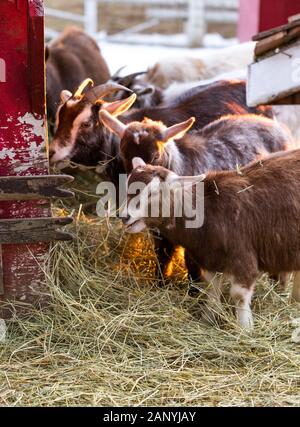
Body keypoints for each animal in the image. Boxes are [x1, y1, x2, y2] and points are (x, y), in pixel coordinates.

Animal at [100, 112, 292, 282]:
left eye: (155, 156)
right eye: (124, 155)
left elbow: (191, 263)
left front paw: (194, 291)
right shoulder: (160, 234)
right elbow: (163, 257)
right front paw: (159, 283)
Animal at [122, 152, 300, 330]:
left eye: (153, 192)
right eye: (128, 183)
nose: (124, 216)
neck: (207, 211)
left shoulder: (243, 258)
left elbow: (239, 295)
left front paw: (245, 328)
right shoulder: (209, 258)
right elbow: (212, 290)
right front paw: (207, 319)